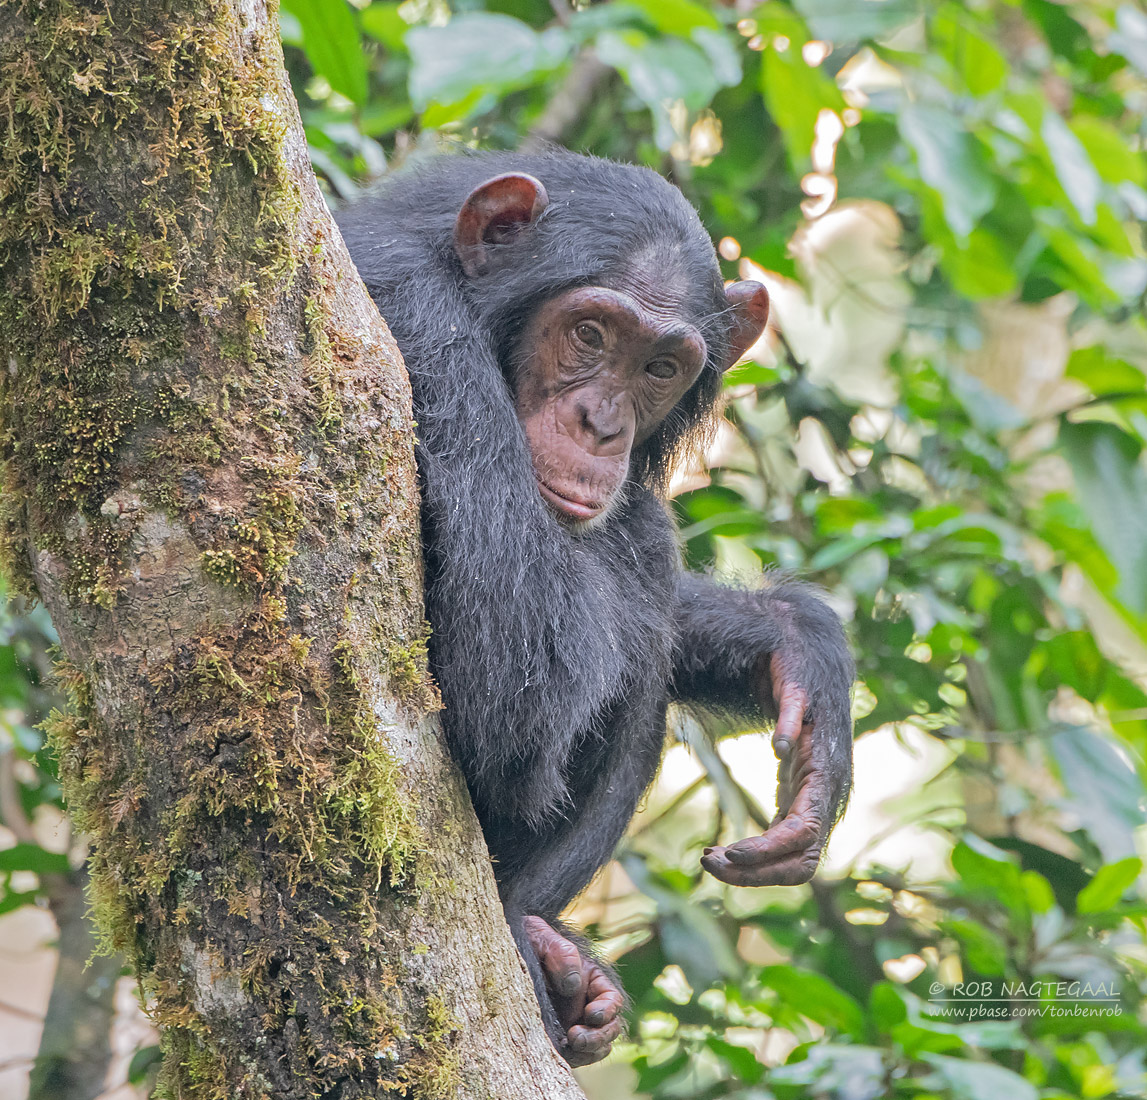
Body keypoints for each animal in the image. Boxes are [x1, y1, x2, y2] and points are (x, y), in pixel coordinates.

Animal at [332, 146, 853, 1064]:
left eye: (659, 368)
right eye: (588, 334)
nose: (601, 423)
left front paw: (799, 655)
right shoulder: (416, 321)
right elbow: (523, 683)